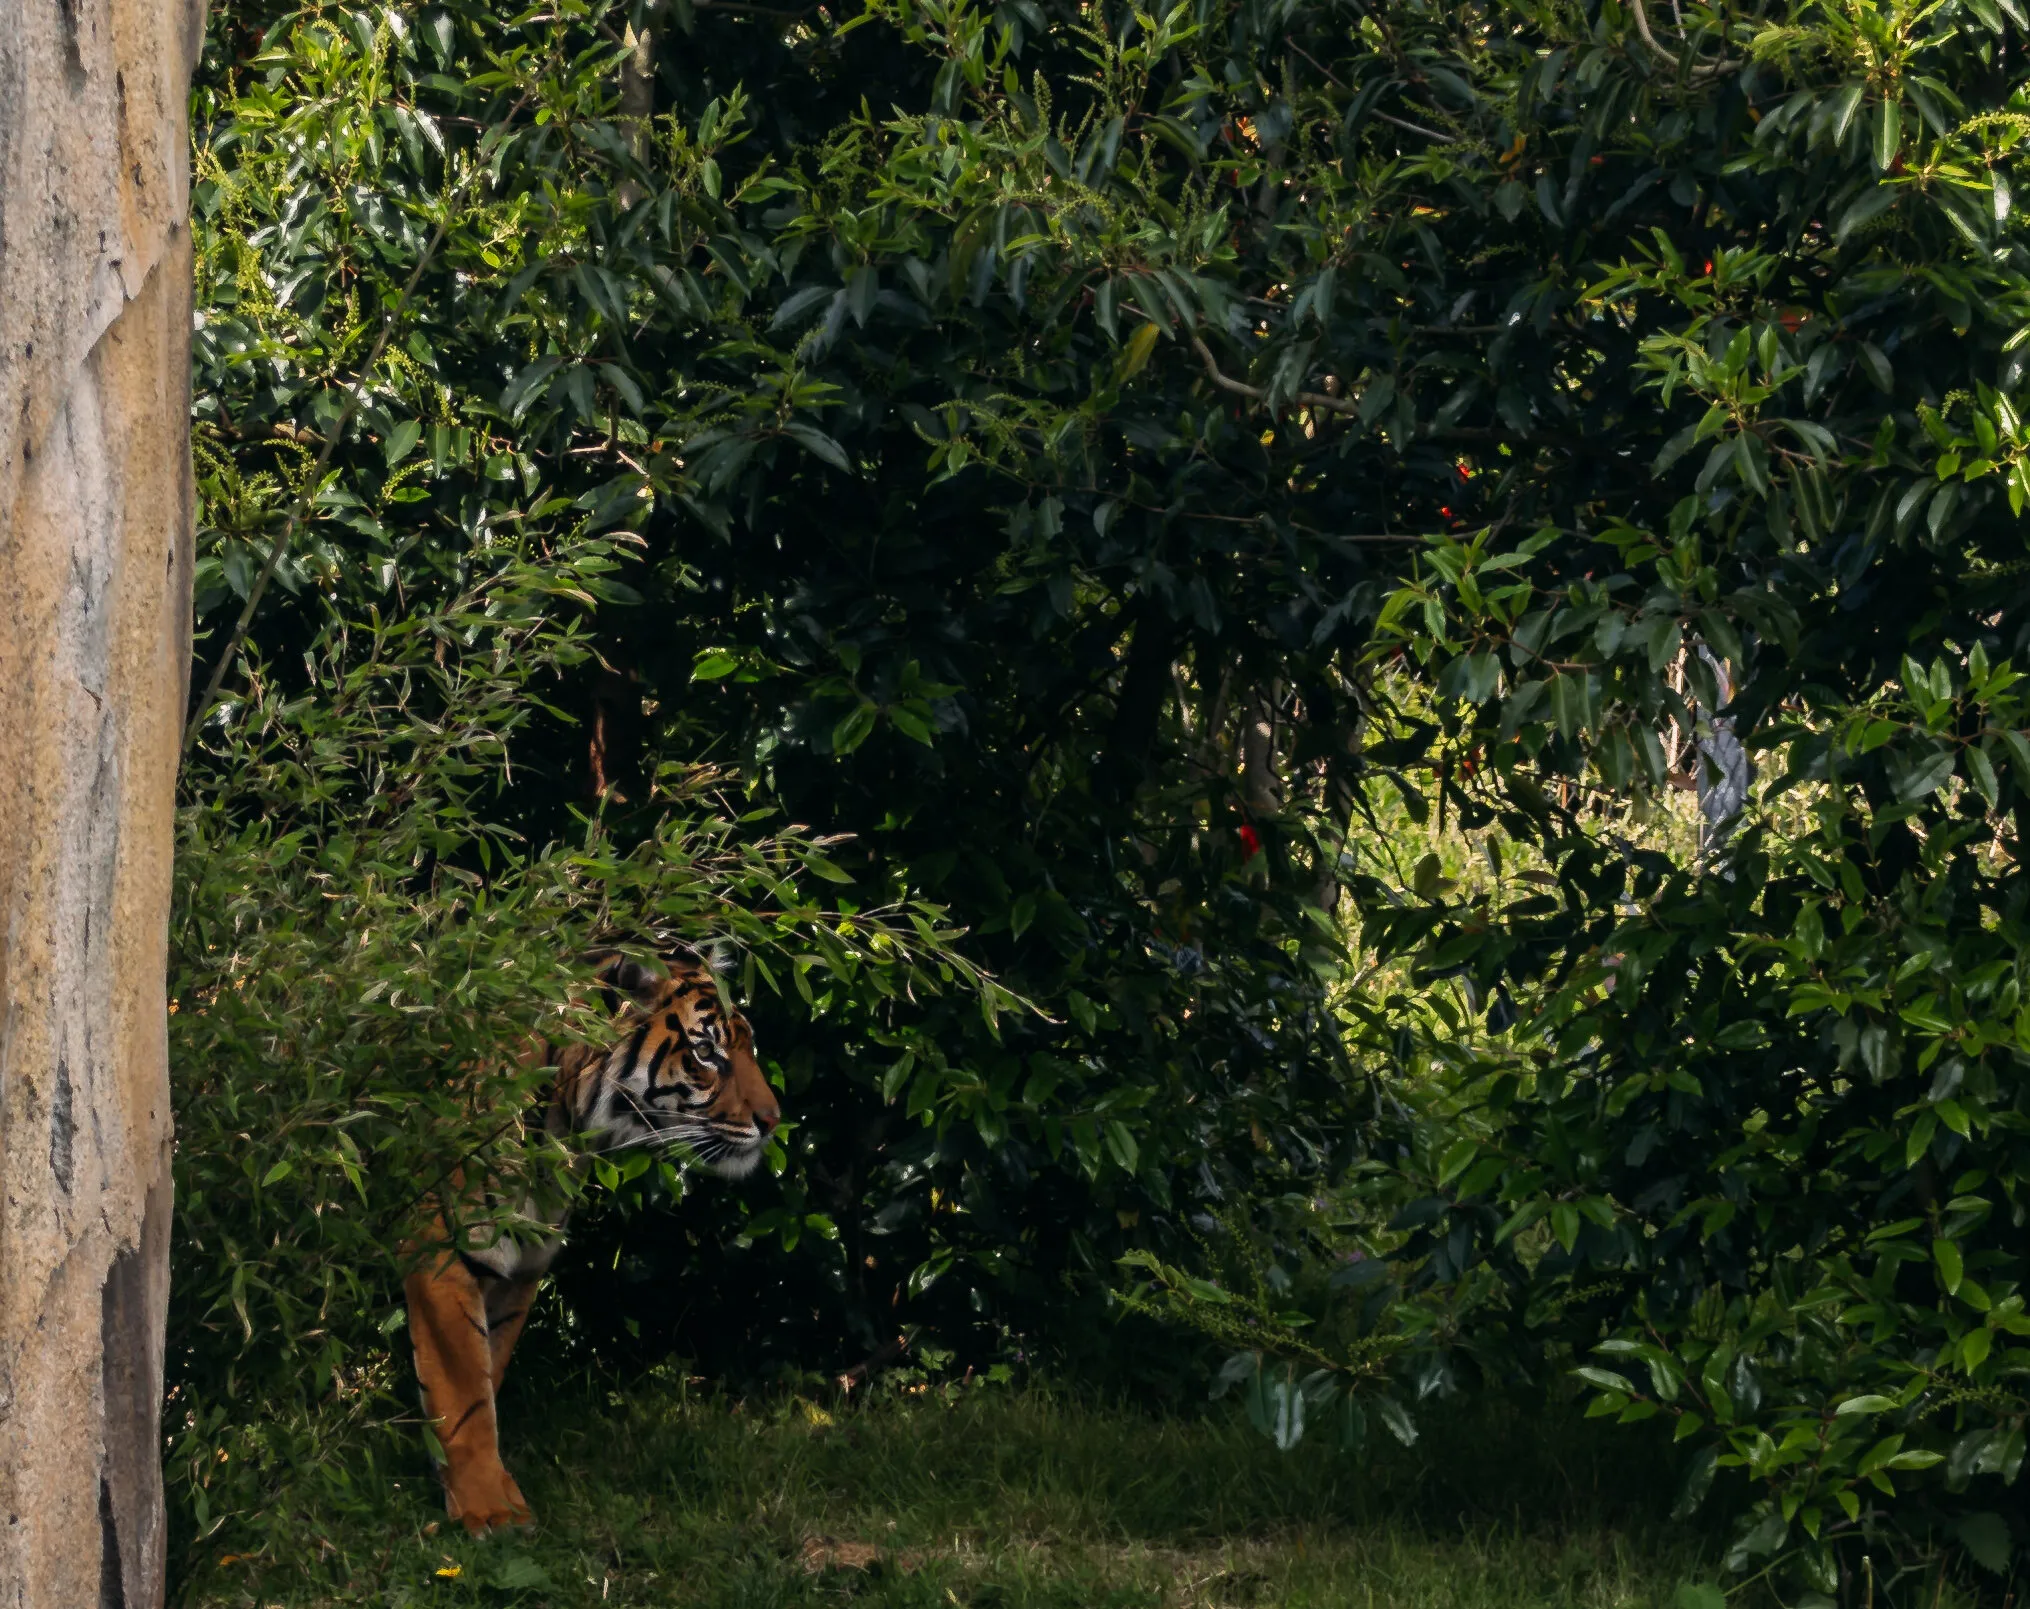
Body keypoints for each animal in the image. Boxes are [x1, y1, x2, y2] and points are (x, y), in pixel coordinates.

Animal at [403, 953, 781, 1534]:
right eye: (705, 1052)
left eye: (747, 1045)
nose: (774, 1121)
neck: (563, 1125)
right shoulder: (443, 1247)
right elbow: (465, 1387)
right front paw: (488, 1508)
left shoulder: (521, 1266)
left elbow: (490, 1369)